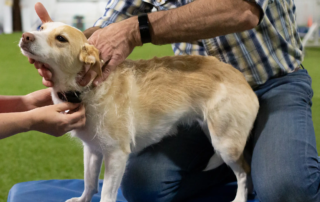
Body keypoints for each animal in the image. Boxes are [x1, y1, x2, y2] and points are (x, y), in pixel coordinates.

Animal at [18, 22, 258, 202]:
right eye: (41, 27)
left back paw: (240, 198)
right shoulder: (92, 149)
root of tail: (239, 77)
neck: (87, 91)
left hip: (225, 143)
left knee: (243, 171)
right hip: (216, 134)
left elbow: (106, 194)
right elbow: (89, 182)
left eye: (61, 38)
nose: (25, 36)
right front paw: (82, 199)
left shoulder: (116, 154)